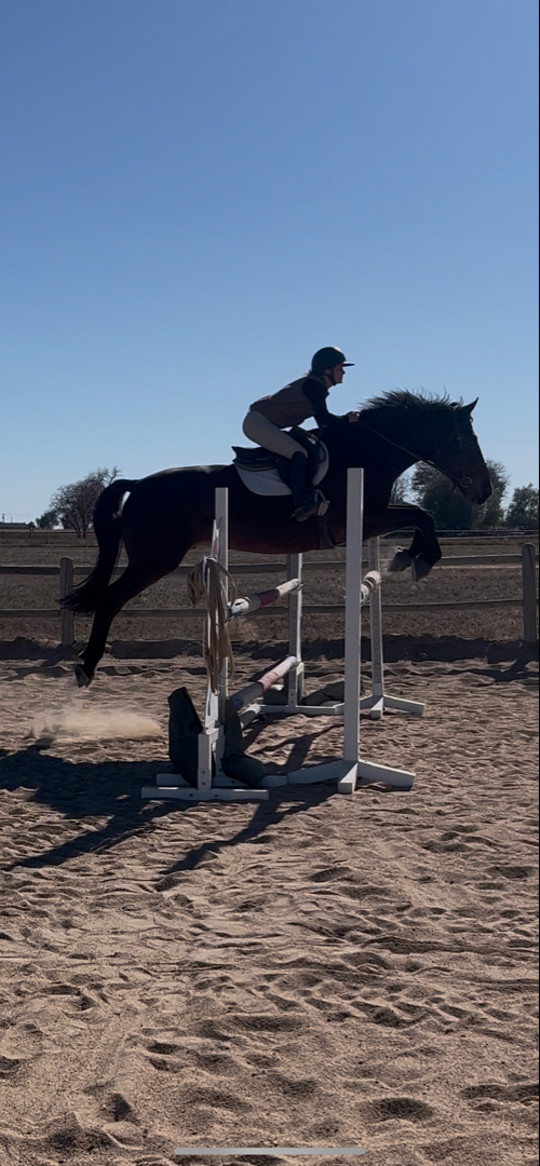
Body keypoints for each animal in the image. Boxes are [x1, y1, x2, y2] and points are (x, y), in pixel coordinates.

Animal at [63, 390, 491, 686]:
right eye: (465, 441)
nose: (485, 492)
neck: (367, 452)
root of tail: (137, 484)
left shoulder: (373, 516)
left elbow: (420, 515)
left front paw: (409, 556)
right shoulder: (362, 519)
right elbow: (422, 514)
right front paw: (419, 558)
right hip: (154, 560)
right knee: (110, 600)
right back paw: (86, 667)